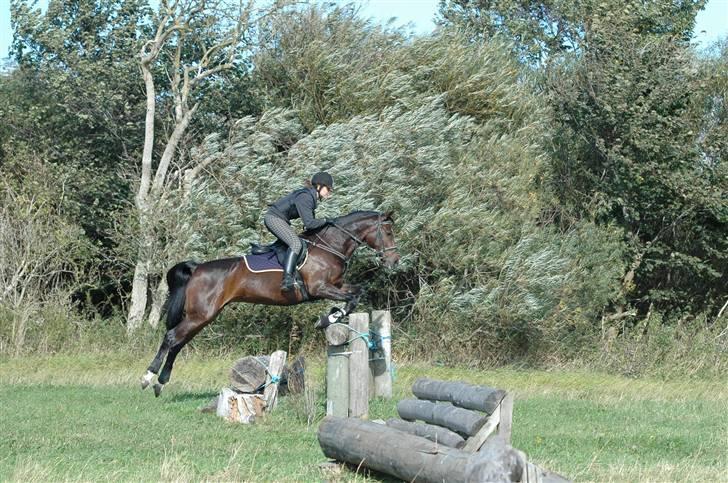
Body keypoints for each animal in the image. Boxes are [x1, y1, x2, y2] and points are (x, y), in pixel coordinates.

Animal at [136, 211, 398, 398]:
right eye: (388, 232)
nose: (394, 261)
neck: (330, 246)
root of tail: (197, 268)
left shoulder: (337, 285)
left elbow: (357, 293)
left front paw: (332, 315)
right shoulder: (320, 288)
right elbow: (352, 297)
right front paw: (329, 317)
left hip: (203, 317)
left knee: (178, 343)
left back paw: (160, 384)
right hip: (200, 315)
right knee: (171, 338)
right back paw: (148, 378)